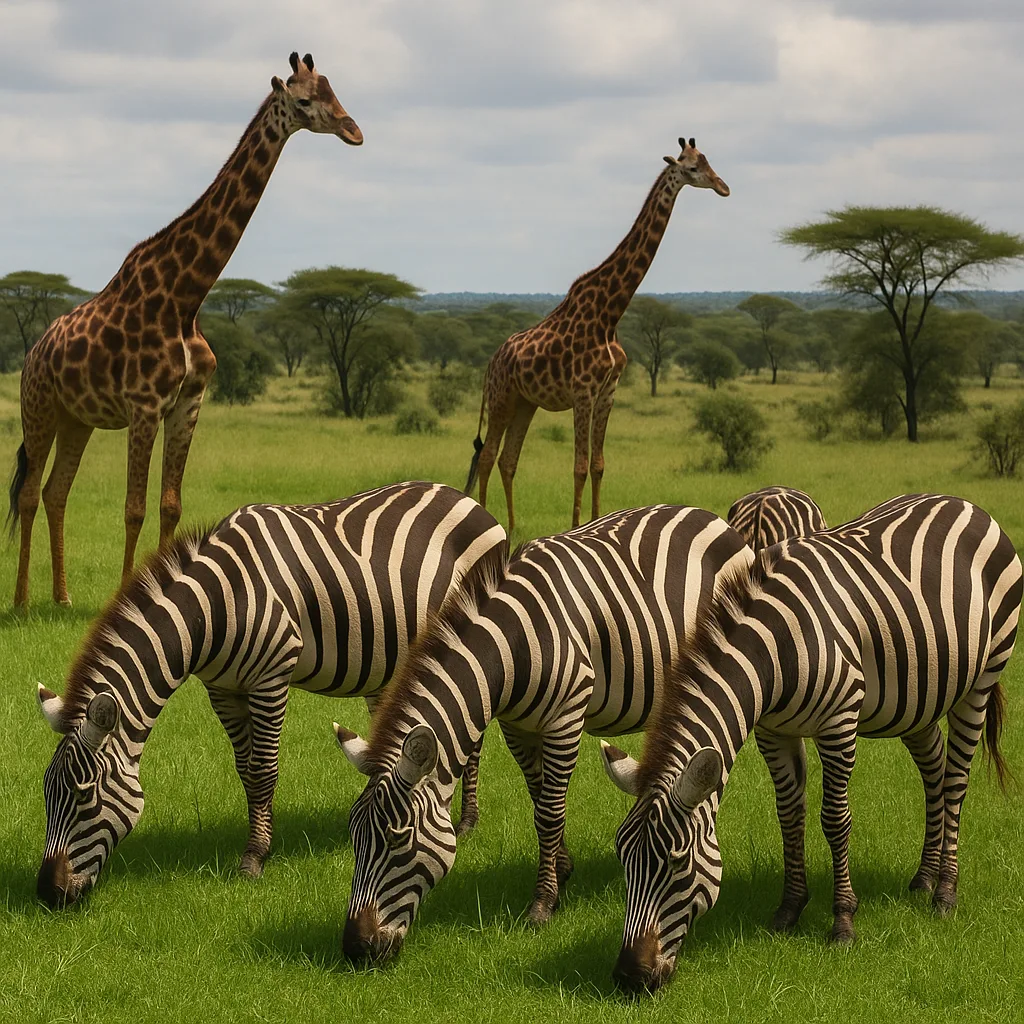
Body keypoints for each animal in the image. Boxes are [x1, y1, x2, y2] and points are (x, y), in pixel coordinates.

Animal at [34, 481, 505, 909]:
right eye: (46, 793)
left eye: (83, 795)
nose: (48, 894)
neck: (217, 603)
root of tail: (466, 497)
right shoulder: (223, 689)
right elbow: (245, 770)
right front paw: (261, 841)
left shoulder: (270, 677)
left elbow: (262, 769)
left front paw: (255, 858)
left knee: (475, 736)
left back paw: (467, 822)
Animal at [333, 504, 752, 964]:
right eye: (353, 836)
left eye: (398, 841)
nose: (355, 947)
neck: (511, 645)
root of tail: (707, 514)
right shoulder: (517, 727)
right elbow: (538, 801)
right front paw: (562, 871)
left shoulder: (566, 718)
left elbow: (549, 812)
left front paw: (544, 902)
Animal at [600, 494, 1021, 992]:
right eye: (622, 856)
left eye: (676, 863)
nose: (629, 976)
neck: (773, 650)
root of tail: (965, 503)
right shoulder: (774, 731)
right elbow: (789, 815)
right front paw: (789, 909)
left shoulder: (839, 722)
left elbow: (834, 819)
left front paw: (842, 921)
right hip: (919, 695)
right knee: (935, 769)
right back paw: (924, 876)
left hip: (982, 676)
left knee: (956, 779)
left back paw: (945, 893)